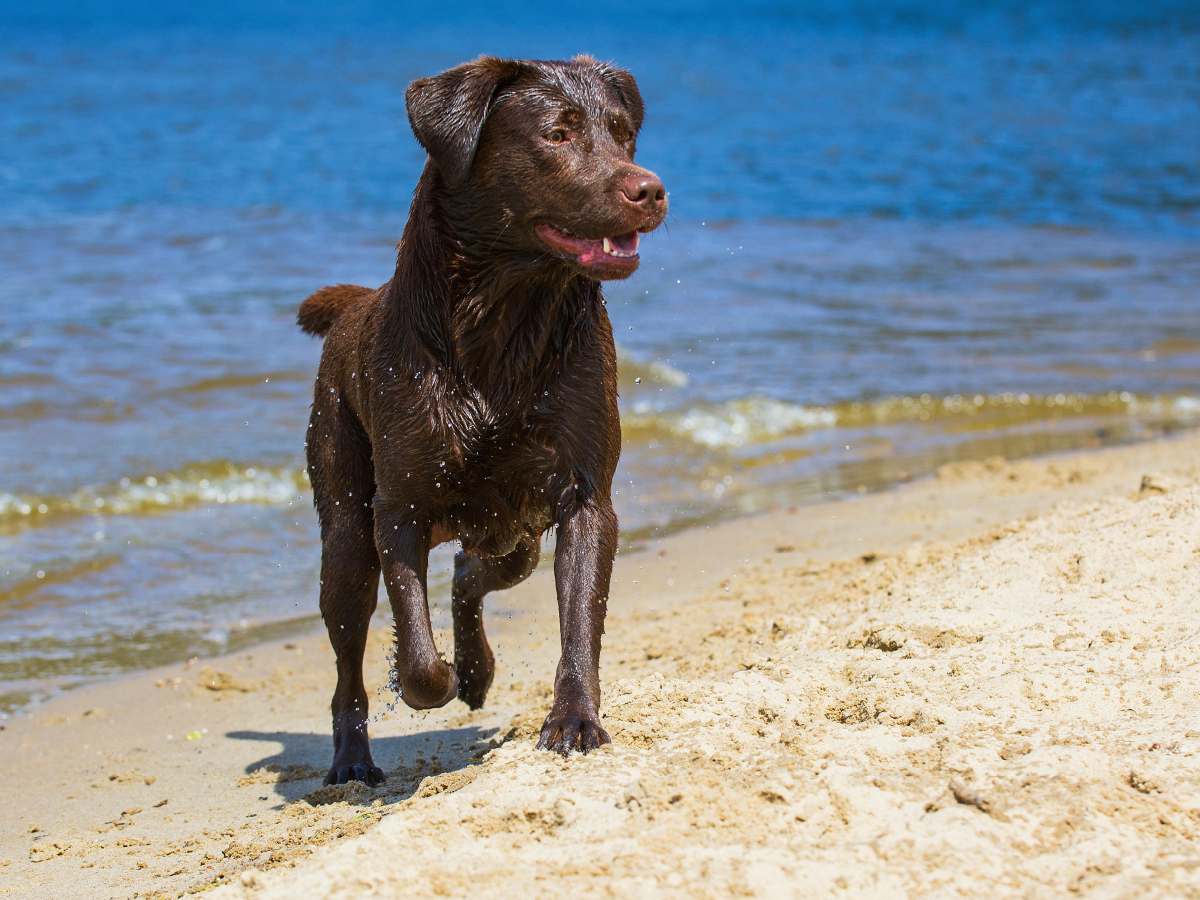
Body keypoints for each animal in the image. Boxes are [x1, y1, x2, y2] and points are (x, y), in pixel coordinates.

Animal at [294, 58, 662, 787]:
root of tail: (354, 307)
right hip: (343, 517)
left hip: (514, 533)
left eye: (623, 133)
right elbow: (414, 649)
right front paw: (429, 680)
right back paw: (352, 759)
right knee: (349, 651)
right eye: (557, 134)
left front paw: (574, 721)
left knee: (473, 571)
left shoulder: (585, 497)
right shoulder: (399, 507)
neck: (504, 322)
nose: (651, 189)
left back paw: (477, 667)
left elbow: (580, 620)